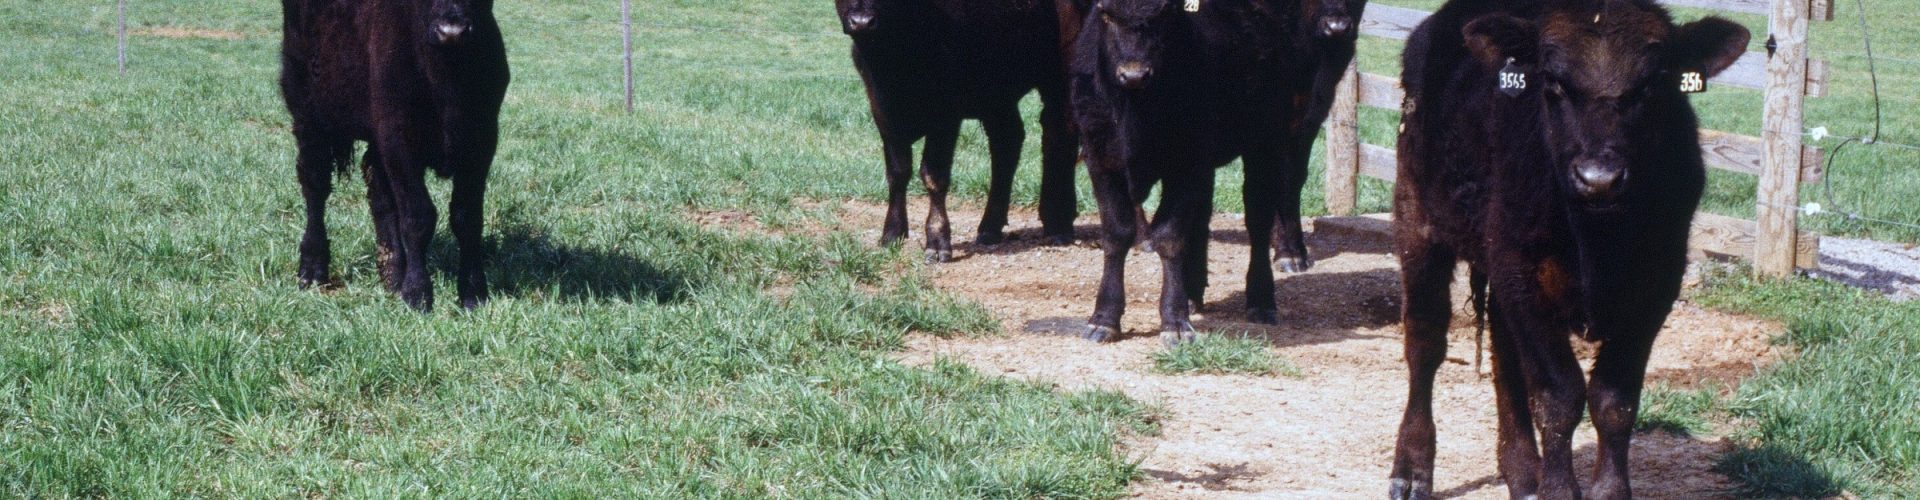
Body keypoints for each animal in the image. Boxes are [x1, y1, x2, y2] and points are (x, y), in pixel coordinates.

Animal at [279, 0, 511, 311]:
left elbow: (467, 217)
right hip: (307, 113)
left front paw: (473, 293)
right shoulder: (398, 139)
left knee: (381, 197)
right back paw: (312, 269)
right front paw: (417, 293)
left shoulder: (482, 141)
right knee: (315, 188)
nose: (452, 32)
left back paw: (392, 274)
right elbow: (417, 215)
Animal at [835, 0, 1080, 263]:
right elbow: (897, 173)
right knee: (1008, 144)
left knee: (1058, 137)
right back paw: (990, 228)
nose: (862, 21)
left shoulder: (946, 116)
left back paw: (1058, 224)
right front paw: (892, 234)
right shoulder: (883, 113)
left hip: (1060, 77)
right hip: (998, 95)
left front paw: (937, 241)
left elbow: (934, 175)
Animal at [1069, 0, 1313, 343]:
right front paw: (1104, 318)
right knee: (1201, 218)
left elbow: (1169, 236)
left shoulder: (1187, 163)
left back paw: (1261, 301)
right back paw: (1193, 293)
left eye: (1167, 12)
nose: (1134, 74)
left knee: (1258, 220)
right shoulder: (1100, 160)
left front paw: (1174, 321)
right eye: (1105, 12)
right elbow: (1117, 235)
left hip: (1266, 138)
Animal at [1386, 0, 1748, 498]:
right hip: (1418, 220)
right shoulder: (1521, 273)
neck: (1598, 241)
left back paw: (1522, 472)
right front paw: (1559, 488)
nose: (1599, 178)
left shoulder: (1658, 282)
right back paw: (1412, 469)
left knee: (1504, 357)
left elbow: (1614, 400)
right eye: (1553, 81)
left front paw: (1608, 489)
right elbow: (1559, 397)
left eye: (1653, 82)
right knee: (1425, 341)